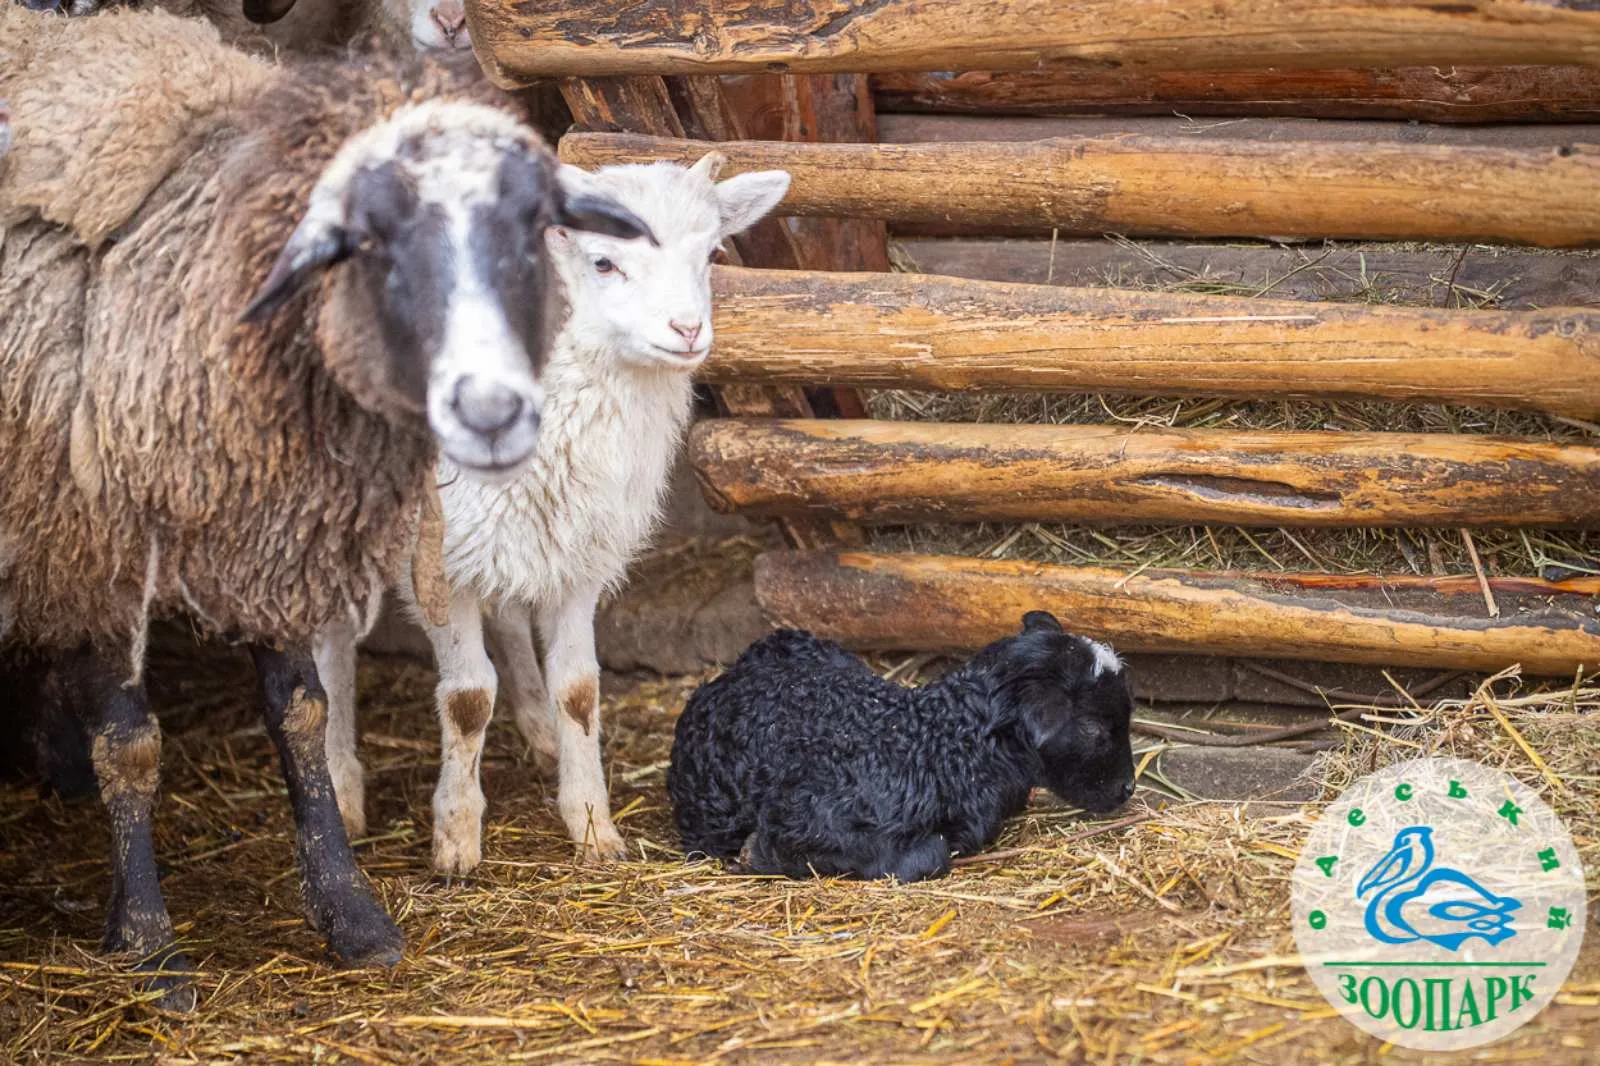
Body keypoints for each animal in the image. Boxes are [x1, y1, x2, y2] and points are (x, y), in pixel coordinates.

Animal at [315, 156, 790, 870]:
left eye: (711, 254)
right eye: (603, 263)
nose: (687, 330)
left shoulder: (579, 545)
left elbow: (580, 688)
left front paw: (592, 824)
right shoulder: (437, 556)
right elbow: (466, 699)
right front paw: (456, 838)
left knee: (510, 614)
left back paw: (538, 732)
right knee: (331, 640)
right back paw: (337, 784)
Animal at [668, 611, 1145, 877]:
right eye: (1094, 728)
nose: (1127, 789)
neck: (934, 743)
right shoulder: (807, 817)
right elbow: (928, 855)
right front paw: (756, 856)